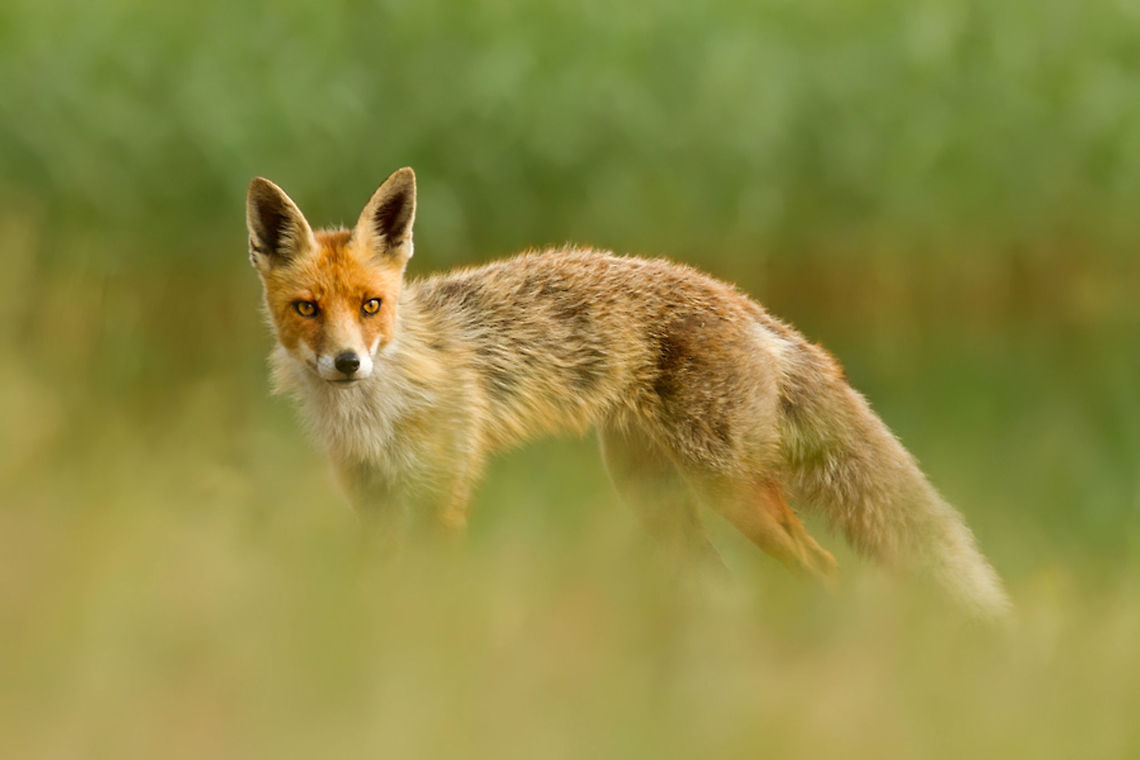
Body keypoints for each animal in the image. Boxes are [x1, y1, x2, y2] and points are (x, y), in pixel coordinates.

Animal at [246, 167, 1012, 620]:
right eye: (308, 308)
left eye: (371, 306)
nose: (347, 362)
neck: (373, 413)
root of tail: (742, 301)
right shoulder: (372, 504)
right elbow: (381, 594)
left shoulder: (445, 497)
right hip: (655, 499)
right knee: (724, 586)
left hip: (727, 489)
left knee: (822, 567)